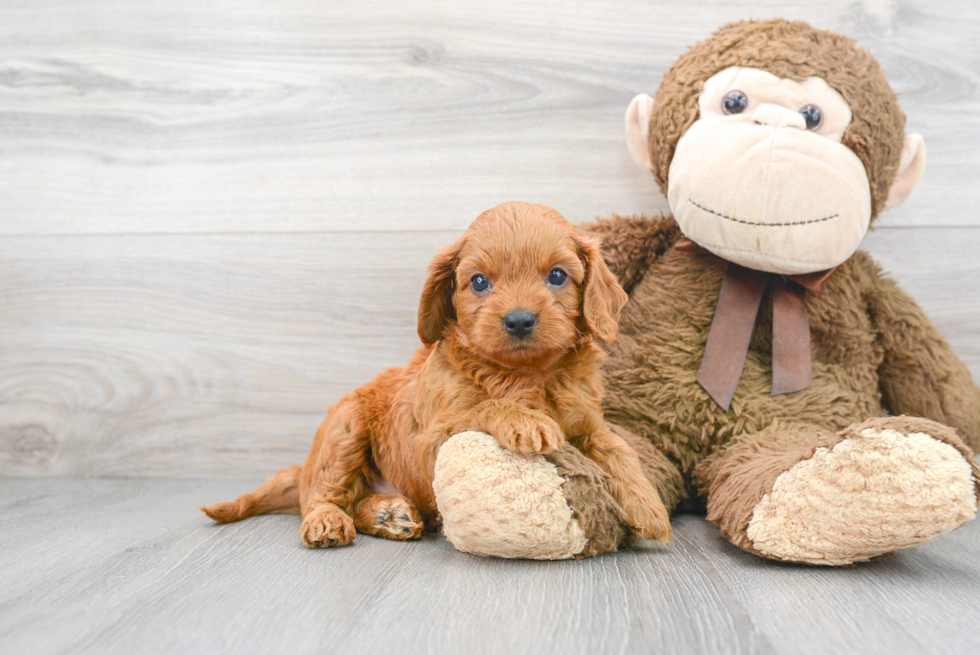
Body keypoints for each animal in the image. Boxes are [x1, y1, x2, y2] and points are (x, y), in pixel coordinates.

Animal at [203, 202, 668, 552]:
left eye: (557, 275)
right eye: (478, 282)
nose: (519, 320)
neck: (526, 374)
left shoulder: (590, 423)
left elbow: (618, 448)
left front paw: (649, 506)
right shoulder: (431, 436)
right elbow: (485, 405)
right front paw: (524, 419)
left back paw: (389, 514)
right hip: (345, 427)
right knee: (324, 494)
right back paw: (328, 521)